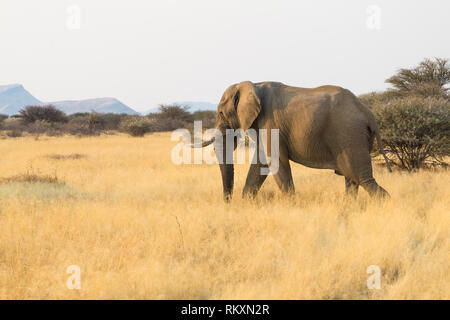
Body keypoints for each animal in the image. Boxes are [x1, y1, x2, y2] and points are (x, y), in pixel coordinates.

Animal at [193, 81, 390, 201]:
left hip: (349, 134)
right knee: (352, 179)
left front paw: (293, 204)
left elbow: (276, 162)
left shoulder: (270, 122)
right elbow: (260, 164)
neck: (253, 85)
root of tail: (369, 113)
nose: (228, 203)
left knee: (362, 178)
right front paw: (245, 203)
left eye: (220, 113)